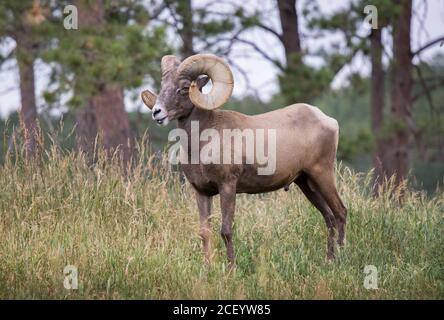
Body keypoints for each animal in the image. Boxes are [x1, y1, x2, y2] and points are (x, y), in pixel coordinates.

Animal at [141, 55, 346, 268]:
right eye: (163, 86)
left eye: (183, 88)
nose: (157, 112)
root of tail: (329, 121)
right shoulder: (202, 192)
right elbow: (204, 232)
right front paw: (208, 268)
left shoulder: (227, 186)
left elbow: (226, 230)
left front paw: (231, 268)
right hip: (306, 183)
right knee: (329, 217)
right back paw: (329, 260)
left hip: (322, 174)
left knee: (340, 212)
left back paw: (340, 259)